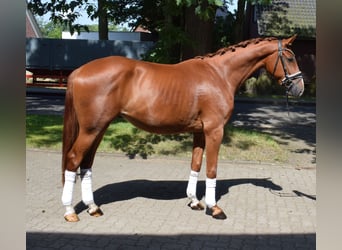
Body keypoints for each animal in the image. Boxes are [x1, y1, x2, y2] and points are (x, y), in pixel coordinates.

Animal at [60, 34, 304, 221]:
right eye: (290, 57)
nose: (300, 88)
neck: (220, 74)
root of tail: (78, 72)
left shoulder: (199, 132)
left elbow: (195, 164)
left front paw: (195, 201)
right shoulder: (214, 131)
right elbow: (212, 169)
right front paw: (214, 208)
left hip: (98, 129)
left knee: (86, 164)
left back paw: (93, 207)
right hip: (91, 130)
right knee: (73, 159)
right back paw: (70, 211)